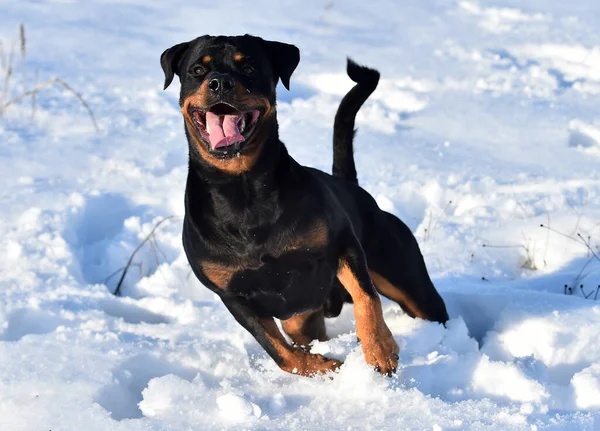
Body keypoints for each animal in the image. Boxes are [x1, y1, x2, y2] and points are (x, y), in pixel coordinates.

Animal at [162, 34, 448, 378]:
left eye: (248, 67)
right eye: (197, 70)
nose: (220, 83)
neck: (243, 192)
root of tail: (350, 185)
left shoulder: (343, 244)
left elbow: (367, 298)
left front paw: (380, 350)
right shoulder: (232, 295)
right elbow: (279, 352)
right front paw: (323, 367)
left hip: (408, 280)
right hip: (300, 315)